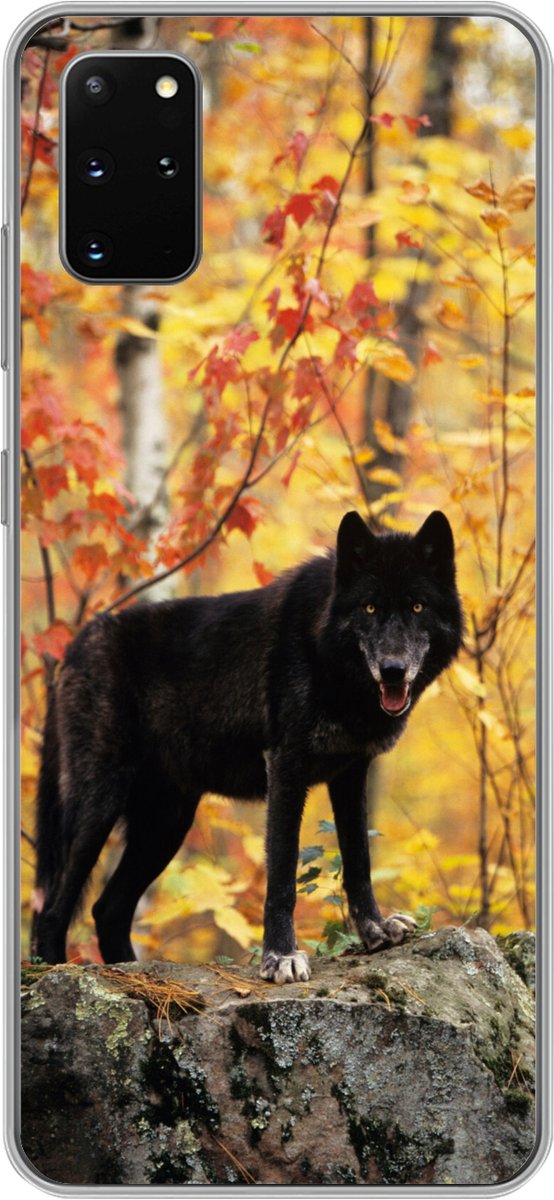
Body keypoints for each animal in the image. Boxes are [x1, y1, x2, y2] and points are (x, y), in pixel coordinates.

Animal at [31, 509, 463, 982]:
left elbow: (358, 859)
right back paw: (56, 974)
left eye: (417, 606)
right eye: (370, 607)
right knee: (51, 910)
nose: (392, 670)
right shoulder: (286, 767)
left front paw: (374, 929)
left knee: (106, 909)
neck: (326, 656)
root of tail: (74, 645)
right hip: (100, 805)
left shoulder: (351, 774)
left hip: (166, 823)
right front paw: (281, 956)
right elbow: (283, 874)